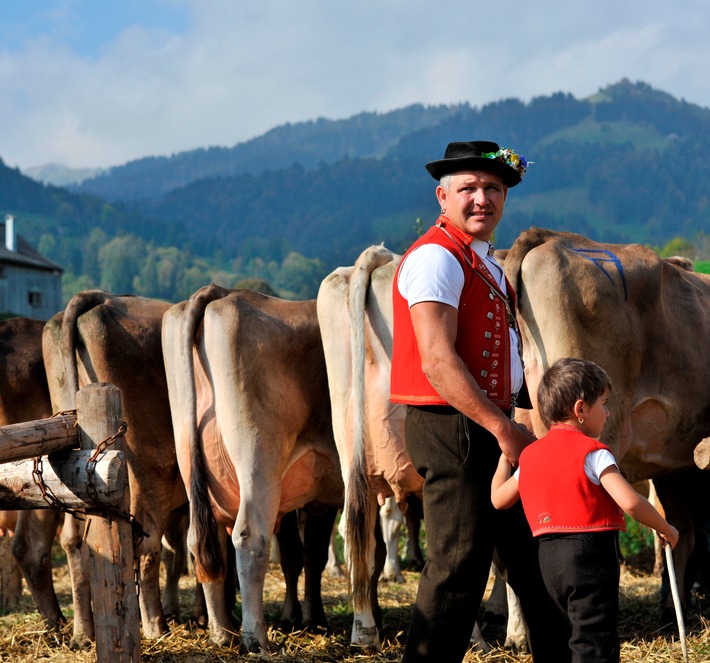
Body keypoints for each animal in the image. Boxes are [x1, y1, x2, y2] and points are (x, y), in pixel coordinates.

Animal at [162, 282, 344, 652]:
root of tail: (222, 292)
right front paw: (312, 620)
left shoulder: (313, 498)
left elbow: (306, 554)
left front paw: (307, 619)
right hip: (259, 462)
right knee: (249, 538)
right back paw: (254, 637)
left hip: (194, 463)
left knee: (203, 542)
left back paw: (221, 633)